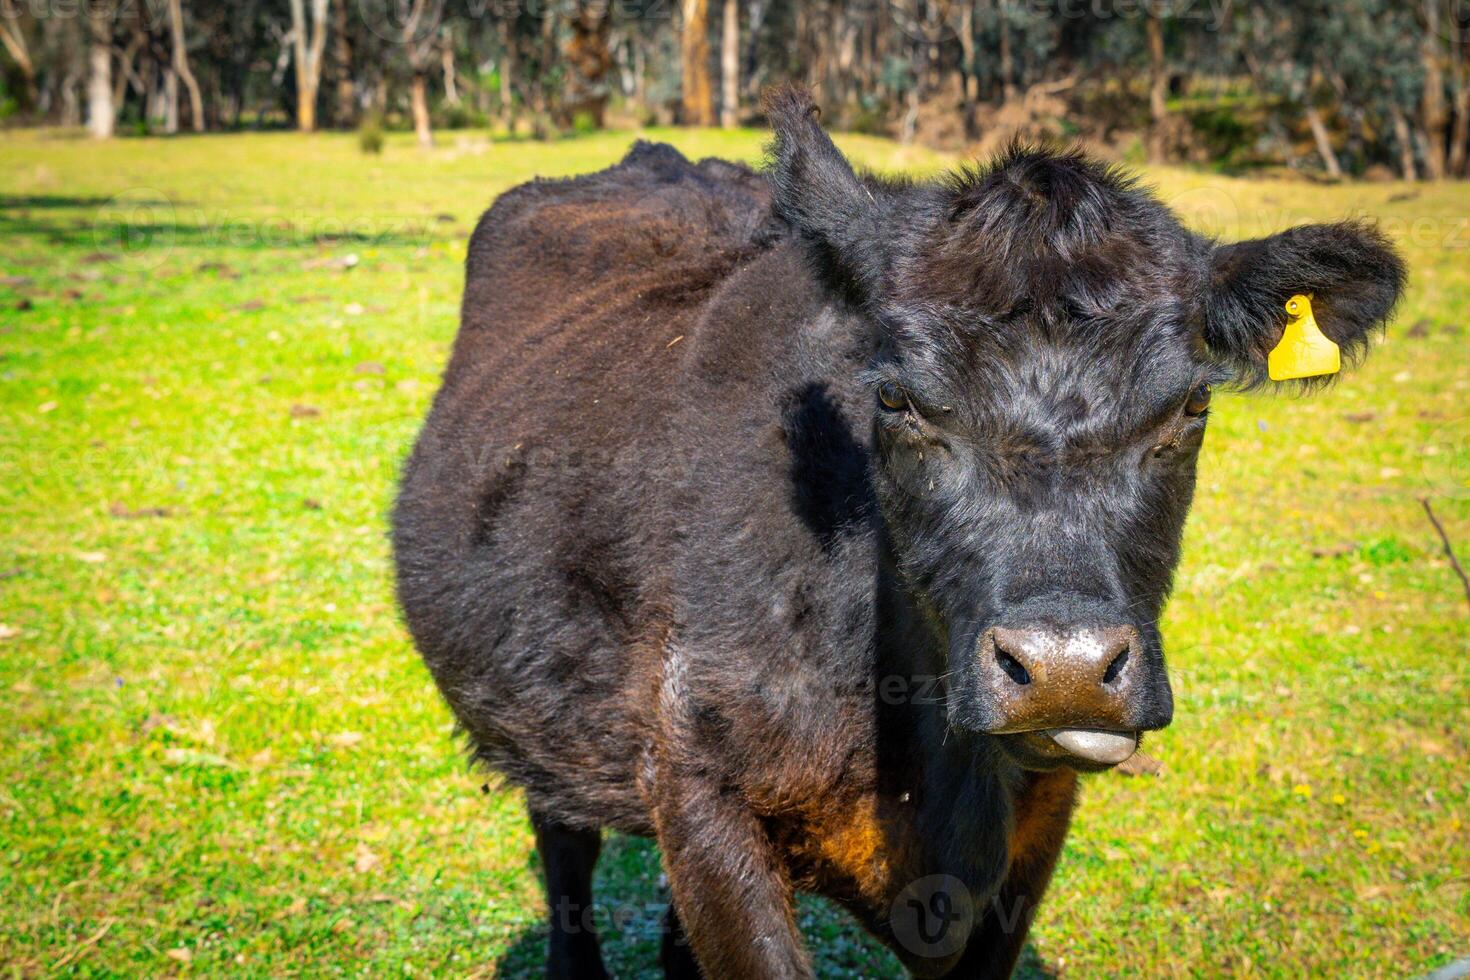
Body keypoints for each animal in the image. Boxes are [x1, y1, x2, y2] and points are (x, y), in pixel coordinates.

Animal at [396, 88, 1405, 975]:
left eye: (1192, 405)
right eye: (895, 399)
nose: (1066, 669)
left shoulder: (1037, 821)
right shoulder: (699, 791)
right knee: (564, 847)